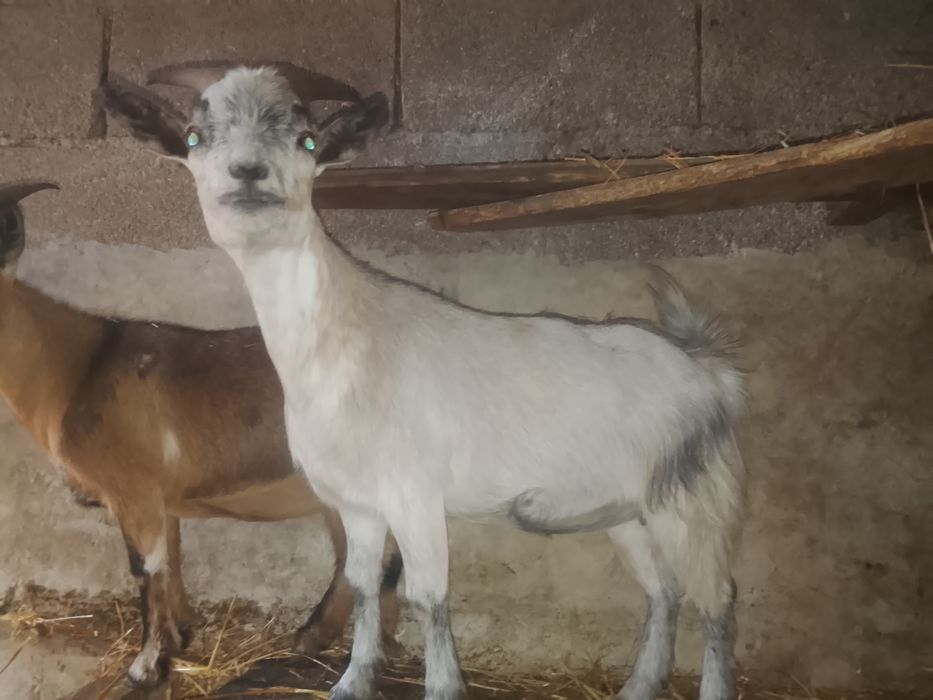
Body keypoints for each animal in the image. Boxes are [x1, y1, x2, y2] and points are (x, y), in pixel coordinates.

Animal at [0, 182, 402, 691]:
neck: (79, 369)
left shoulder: (133, 489)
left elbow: (146, 568)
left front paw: (144, 667)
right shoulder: (160, 497)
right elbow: (171, 561)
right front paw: (179, 639)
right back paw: (339, 642)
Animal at [104, 63, 746, 700]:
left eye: (307, 141)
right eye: (194, 137)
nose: (248, 172)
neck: (347, 342)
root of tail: (707, 367)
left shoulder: (413, 493)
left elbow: (427, 596)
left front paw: (438, 685)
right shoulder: (358, 502)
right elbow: (362, 584)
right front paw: (352, 680)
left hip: (692, 496)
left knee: (716, 600)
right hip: (627, 510)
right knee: (664, 590)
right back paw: (638, 686)